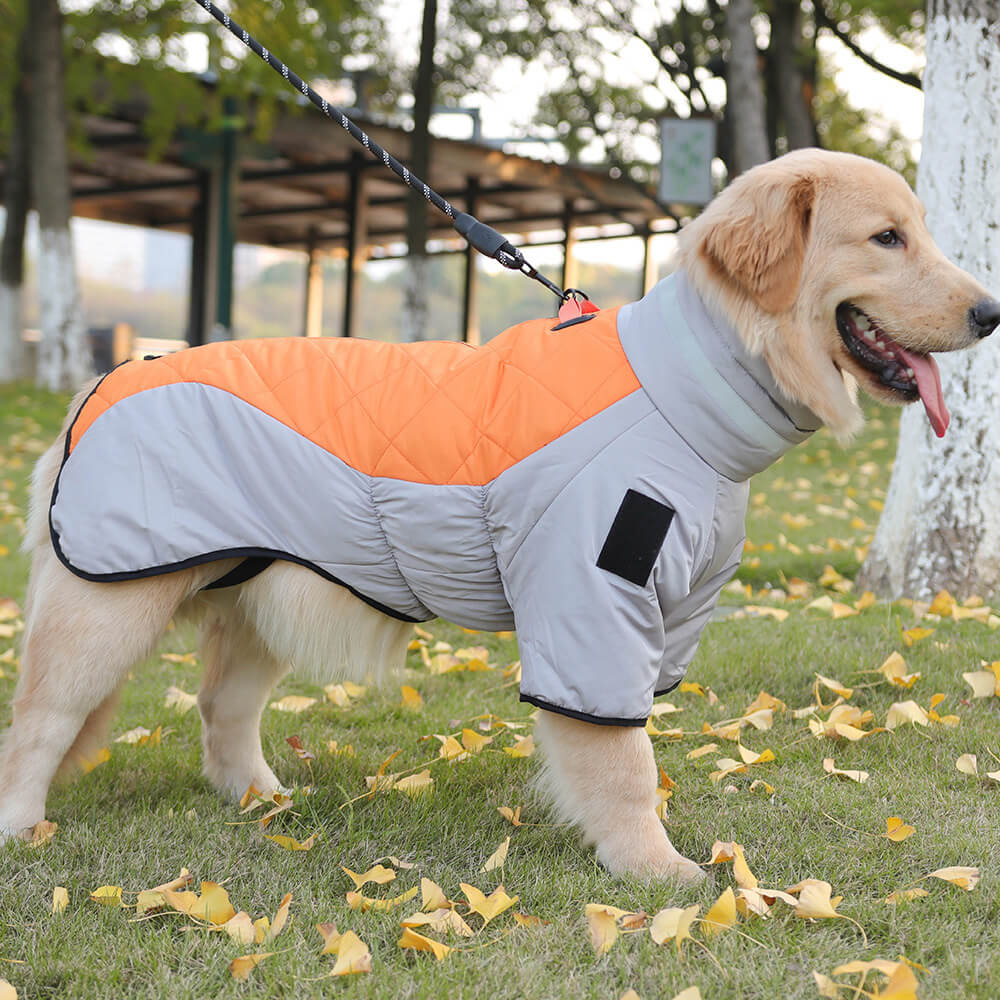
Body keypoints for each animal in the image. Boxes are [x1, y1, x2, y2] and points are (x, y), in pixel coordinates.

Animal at [1, 148, 1000, 884]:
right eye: (886, 237)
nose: (991, 312)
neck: (687, 386)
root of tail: (100, 382)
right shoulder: (591, 604)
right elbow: (623, 764)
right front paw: (659, 873)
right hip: (103, 610)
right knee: (38, 724)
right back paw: (23, 829)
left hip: (264, 598)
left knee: (221, 709)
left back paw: (262, 799)